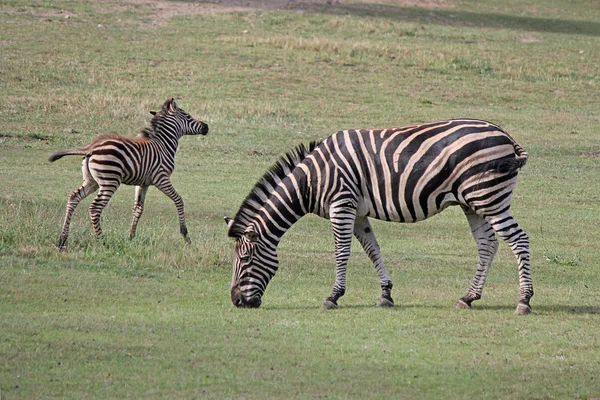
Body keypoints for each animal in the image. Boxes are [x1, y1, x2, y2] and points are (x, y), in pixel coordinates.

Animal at [48, 98, 209, 248]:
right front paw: (185, 235)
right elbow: (179, 200)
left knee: (73, 198)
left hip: (91, 182)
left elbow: (138, 208)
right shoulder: (161, 178)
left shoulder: (143, 184)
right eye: (188, 116)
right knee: (95, 208)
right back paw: (102, 241)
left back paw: (62, 239)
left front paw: (131, 236)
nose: (206, 127)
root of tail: (91, 148)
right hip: (110, 181)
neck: (163, 145)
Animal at [225, 117, 536, 314]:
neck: (312, 180)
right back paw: (469, 297)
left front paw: (333, 296)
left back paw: (524, 301)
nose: (237, 301)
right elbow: (373, 249)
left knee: (519, 240)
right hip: (474, 202)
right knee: (488, 245)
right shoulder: (358, 213)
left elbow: (342, 253)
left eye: (245, 259)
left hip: (490, 197)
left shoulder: (342, 204)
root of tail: (506, 136)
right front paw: (386, 294)